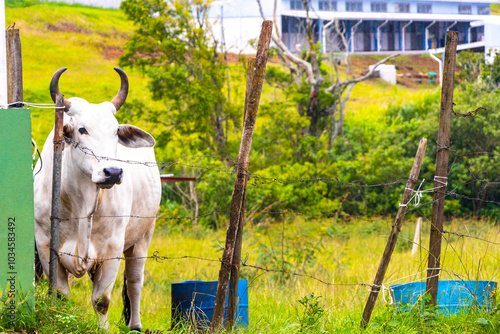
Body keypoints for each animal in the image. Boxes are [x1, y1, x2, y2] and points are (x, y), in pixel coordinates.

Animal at [34, 68, 160, 332]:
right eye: (82, 129)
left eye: (116, 131)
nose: (112, 172)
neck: (82, 204)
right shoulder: (45, 244)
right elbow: (61, 295)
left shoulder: (112, 248)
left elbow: (102, 300)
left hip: (144, 235)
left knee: (135, 281)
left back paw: (135, 325)